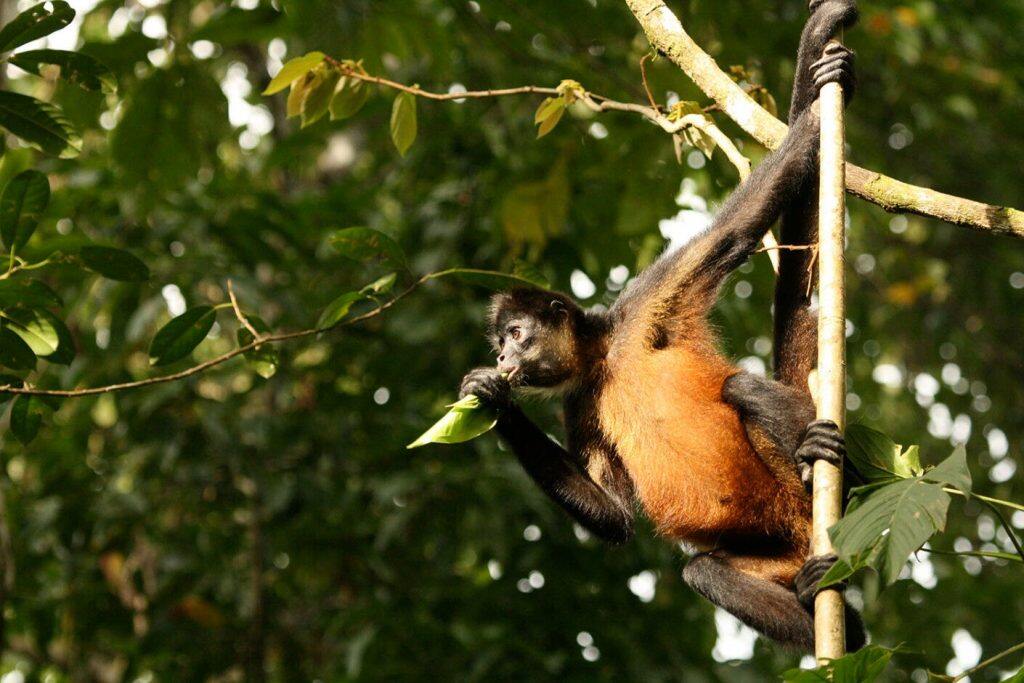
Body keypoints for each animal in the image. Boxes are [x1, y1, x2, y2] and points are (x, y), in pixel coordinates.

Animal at [457, 0, 864, 652]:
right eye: (499, 345)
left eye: (516, 336)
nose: (501, 361)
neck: (606, 358)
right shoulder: (580, 401)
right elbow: (616, 515)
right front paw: (491, 399)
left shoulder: (648, 300)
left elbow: (736, 229)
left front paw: (817, 105)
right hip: (772, 550)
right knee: (705, 572)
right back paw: (838, 621)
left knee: (742, 388)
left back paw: (825, 467)